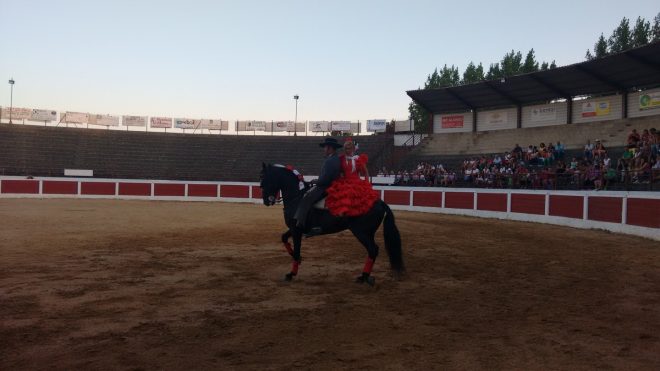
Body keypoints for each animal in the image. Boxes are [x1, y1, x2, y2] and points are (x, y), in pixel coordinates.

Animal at [260, 163, 404, 284]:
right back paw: (365, 276)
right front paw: (298, 260)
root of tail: (379, 202)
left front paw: (291, 274)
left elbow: (296, 250)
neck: (297, 197)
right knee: (373, 250)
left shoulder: (296, 230)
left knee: (373, 249)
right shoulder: (294, 228)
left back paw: (363, 276)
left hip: (361, 232)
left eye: (263, 179)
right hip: (368, 233)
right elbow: (284, 238)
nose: (267, 201)